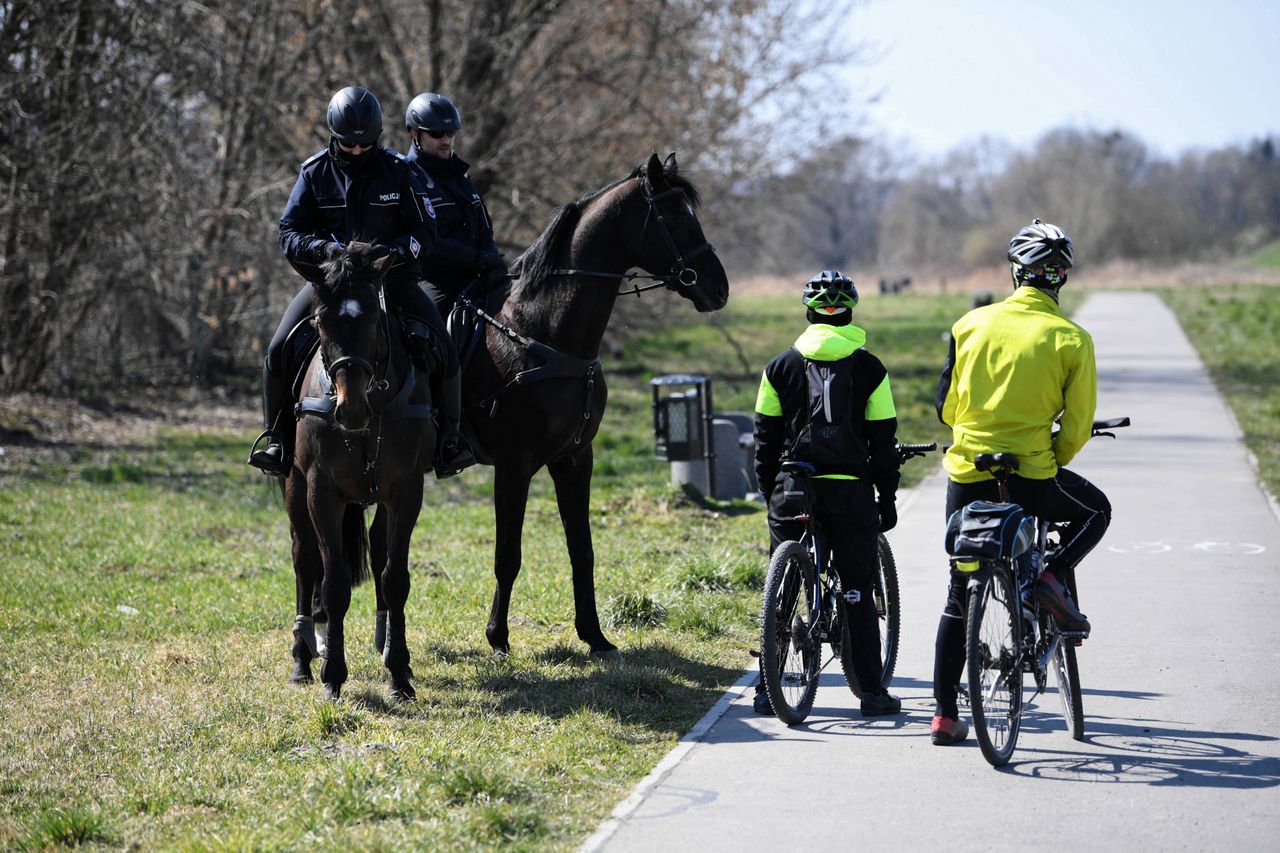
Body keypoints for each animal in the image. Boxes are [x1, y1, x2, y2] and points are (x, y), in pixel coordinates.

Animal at [284, 244, 435, 696]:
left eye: (371, 318)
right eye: (319, 321)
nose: (350, 410)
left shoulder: (406, 491)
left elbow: (394, 577)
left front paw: (399, 672)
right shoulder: (322, 492)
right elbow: (332, 584)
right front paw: (332, 674)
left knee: (379, 550)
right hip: (295, 490)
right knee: (305, 562)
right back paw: (302, 659)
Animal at [458, 154, 732, 655]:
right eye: (676, 217)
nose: (718, 288)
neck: (543, 335)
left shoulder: (574, 459)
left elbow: (581, 549)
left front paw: (594, 634)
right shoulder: (513, 466)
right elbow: (508, 555)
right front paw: (497, 636)